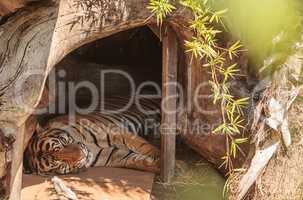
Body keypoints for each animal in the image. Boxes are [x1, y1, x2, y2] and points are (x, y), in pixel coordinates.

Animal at [24, 96, 163, 175]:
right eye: (61, 164)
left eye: (62, 142)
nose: (82, 154)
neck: (91, 147)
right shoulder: (116, 156)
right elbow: (140, 162)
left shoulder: (114, 131)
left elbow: (143, 146)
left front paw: (163, 158)